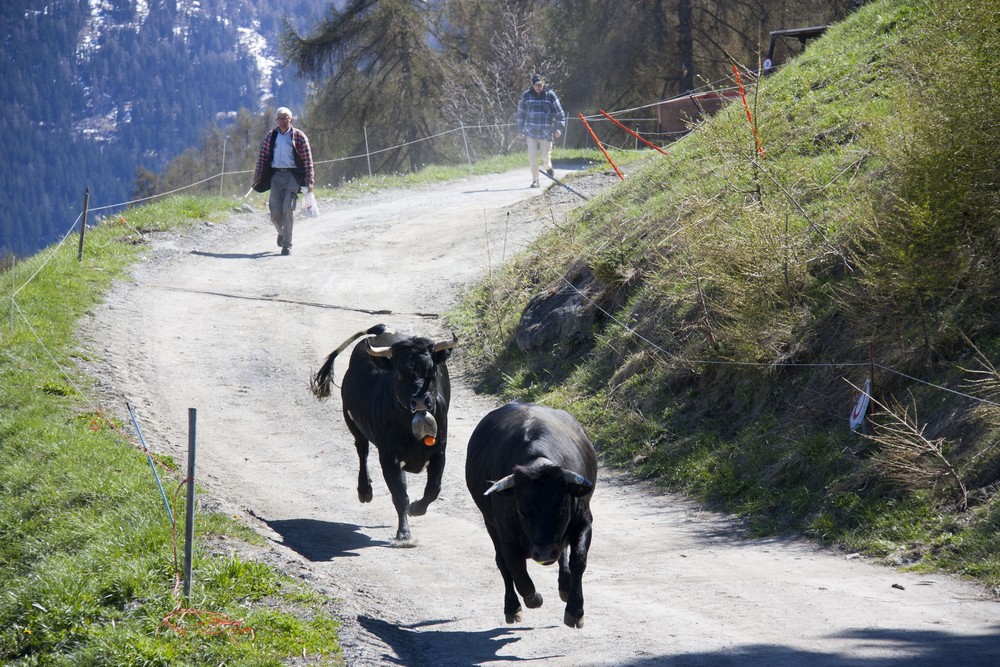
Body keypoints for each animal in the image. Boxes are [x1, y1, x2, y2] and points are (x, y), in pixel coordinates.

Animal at [310, 324, 458, 544]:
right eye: (398, 373)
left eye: (431, 370)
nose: (420, 401)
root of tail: (384, 330)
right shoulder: (389, 456)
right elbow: (399, 495)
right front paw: (404, 534)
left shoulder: (440, 450)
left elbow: (433, 489)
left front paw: (416, 508)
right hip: (351, 422)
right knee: (362, 450)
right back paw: (365, 491)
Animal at [466, 404, 596, 628]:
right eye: (521, 511)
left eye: (561, 507)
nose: (544, 554)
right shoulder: (506, 537)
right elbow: (517, 572)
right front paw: (532, 599)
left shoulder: (584, 522)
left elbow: (578, 560)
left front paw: (575, 610)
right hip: (490, 525)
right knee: (503, 564)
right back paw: (512, 607)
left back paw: (565, 586)